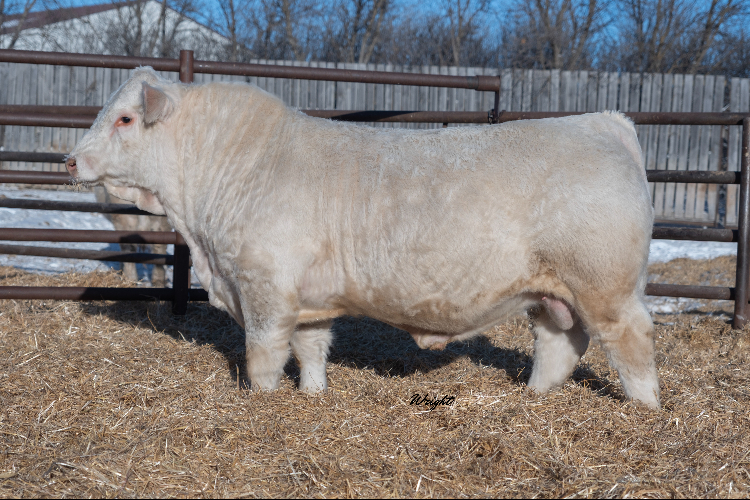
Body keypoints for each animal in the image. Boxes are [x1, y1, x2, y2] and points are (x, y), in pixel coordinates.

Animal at [66, 67, 660, 409]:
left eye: (124, 119)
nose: (70, 159)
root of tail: (603, 123)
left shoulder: (265, 289)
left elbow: (263, 357)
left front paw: (261, 401)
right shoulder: (309, 299)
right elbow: (311, 350)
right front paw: (312, 395)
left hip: (605, 285)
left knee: (631, 342)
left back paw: (644, 409)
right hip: (552, 293)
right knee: (561, 344)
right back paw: (534, 398)